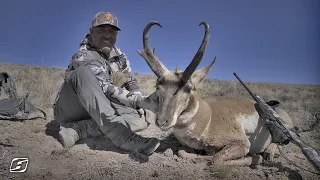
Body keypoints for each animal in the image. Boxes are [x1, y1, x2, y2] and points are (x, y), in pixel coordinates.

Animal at [138, 21, 296, 166]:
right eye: (157, 86)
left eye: (188, 88)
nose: (162, 121)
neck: (207, 115)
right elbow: (182, 152)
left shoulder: (242, 143)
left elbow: (216, 159)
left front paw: (255, 157)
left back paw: (268, 153)